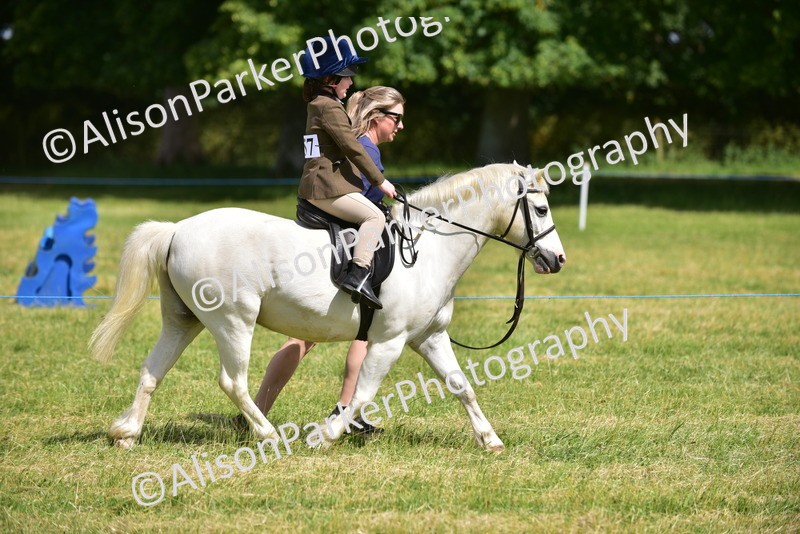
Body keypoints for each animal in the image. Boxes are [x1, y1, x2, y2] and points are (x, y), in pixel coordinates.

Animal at [90, 162, 566, 452]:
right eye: (541, 208)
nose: (558, 259)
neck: (428, 249)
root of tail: (176, 229)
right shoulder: (389, 341)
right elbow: (363, 393)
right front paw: (326, 435)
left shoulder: (429, 338)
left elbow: (461, 385)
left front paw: (490, 440)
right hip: (233, 322)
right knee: (233, 381)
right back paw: (269, 435)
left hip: (183, 320)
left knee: (152, 371)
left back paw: (126, 433)